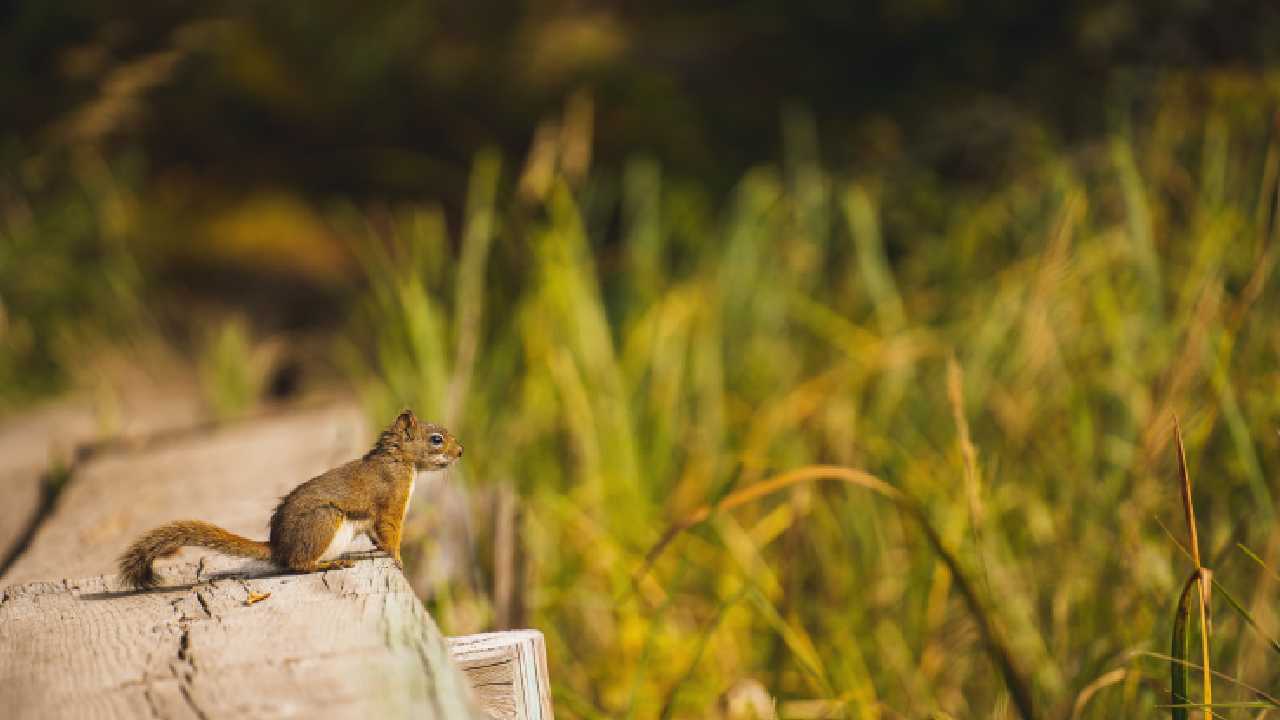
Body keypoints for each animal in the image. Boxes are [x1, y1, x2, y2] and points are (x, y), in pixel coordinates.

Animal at [117, 409, 463, 589]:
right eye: (436, 440)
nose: (460, 451)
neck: (400, 461)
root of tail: (278, 546)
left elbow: (376, 536)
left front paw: (378, 551)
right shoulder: (391, 501)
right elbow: (390, 533)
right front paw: (397, 558)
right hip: (324, 520)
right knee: (298, 564)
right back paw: (332, 563)